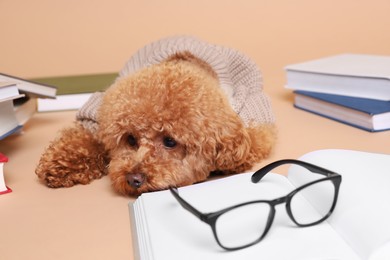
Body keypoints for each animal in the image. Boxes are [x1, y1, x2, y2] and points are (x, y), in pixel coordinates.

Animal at [35, 36, 276, 195]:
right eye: (130, 139)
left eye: (170, 141)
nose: (133, 179)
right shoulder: (94, 113)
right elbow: (83, 138)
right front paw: (62, 164)